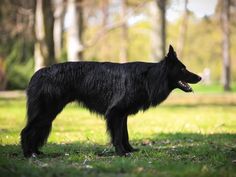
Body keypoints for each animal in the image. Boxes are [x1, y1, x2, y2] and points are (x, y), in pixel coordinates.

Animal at [20, 45, 201, 157]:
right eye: (183, 68)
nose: (200, 77)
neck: (148, 78)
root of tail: (38, 73)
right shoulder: (115, 113)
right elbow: (118, 136)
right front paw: (121, 153)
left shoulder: (122, 115)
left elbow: (125, 135)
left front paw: (130, 150)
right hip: (47, 111)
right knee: (26, 131)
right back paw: (29, 154)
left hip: (48, 114)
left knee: (34, 131)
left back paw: (36, 151)